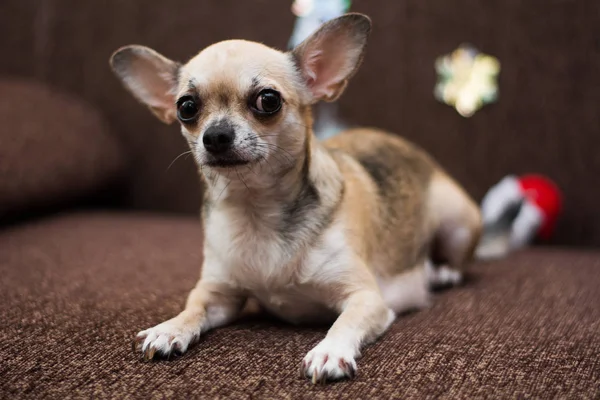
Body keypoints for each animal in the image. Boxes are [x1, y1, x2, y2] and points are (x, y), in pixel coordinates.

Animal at [109, 13, 482, 384]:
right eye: (186, 107)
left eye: (268, 100)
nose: (214, 135)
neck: (256, 210)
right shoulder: (217, 295)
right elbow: (193, 308)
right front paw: (169, 328)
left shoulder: (366, 298)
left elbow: (345, 322)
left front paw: (330, 351)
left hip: (457, 223)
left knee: (456, 261)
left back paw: (440, 273)